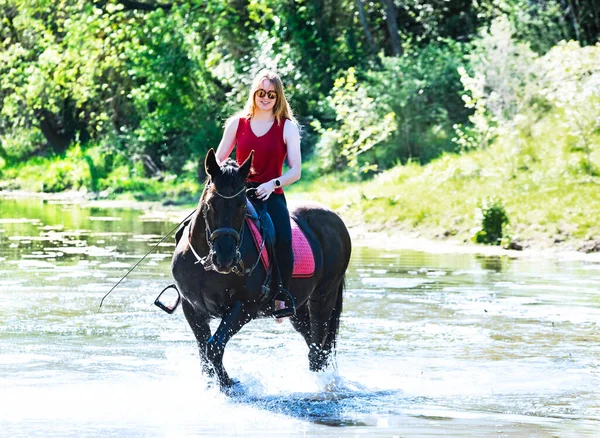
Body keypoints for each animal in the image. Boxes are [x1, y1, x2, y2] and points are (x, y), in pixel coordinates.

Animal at [170, 149, 352, 388]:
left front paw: (230, 385)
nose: (225, 258)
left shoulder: (244, 307)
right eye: (210, 203)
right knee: (313, 343)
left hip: (323, 297)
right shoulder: (191, 308)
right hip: (299, 308)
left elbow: (214, 348)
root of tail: (336, 219)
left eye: (240, 204)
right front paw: (212, 386)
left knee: (318, 350)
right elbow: (204, 353)